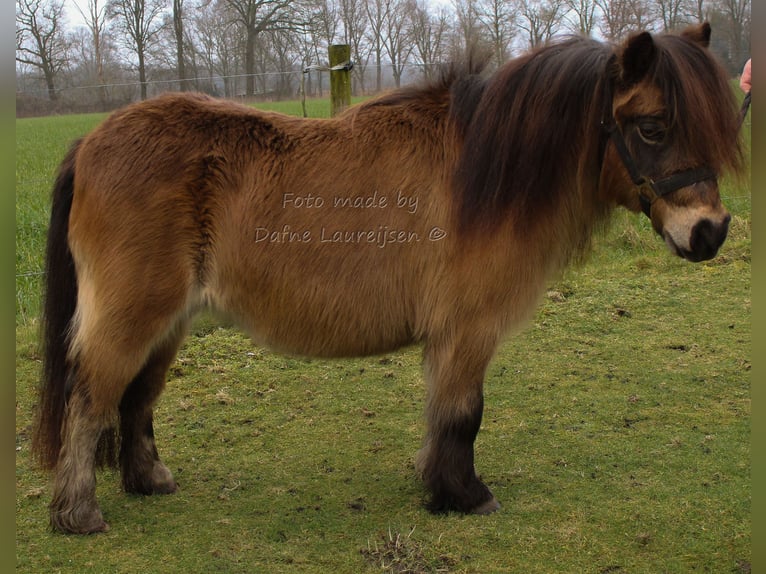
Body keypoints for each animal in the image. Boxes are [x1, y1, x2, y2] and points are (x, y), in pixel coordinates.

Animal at [34, 23, 744, 536]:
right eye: (652, 127)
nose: (711, 231)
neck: (486, 173)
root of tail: (90, 141)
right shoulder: (467, 329)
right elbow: (464, 412)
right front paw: (464, 495)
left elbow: (442, 413)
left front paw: (436, 483)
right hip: (133, 313)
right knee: (90, 398)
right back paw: (78, 514)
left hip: (169, 321)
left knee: (137, 397)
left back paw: (148, 481)